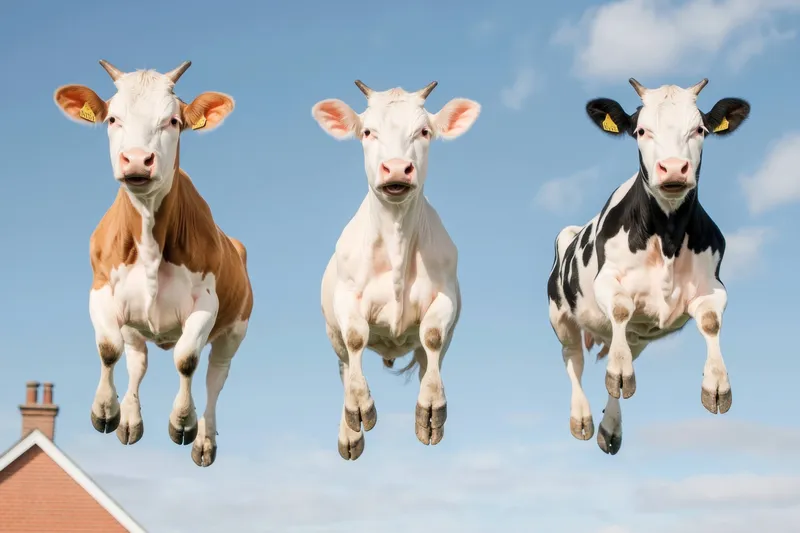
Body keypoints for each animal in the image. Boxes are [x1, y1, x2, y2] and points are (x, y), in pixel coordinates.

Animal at [53, 60, 253, 467]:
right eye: (112, 119)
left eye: (172, 121)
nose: (136, 160)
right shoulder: (100, 290)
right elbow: (108, 348)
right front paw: (105, 410)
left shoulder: (207, 304)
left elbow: (187, 359)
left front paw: (183, 422)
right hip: (134, 321)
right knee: (136, 359)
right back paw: (129, 419)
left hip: (233, 332)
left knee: (214, 378)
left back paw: (204, 438)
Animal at [311, 80, 480, 460]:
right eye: (367, 132)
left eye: (424, 131)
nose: (398, 169)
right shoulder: (347, 300)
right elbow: (356, 338)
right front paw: (360, 409)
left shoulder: (445, 296)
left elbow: (431, 337)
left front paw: (431, 409)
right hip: (332, 336)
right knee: (347, 366)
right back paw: (350, 431)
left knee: (428, 357)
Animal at [547, 78, 750, 456]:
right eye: (641, 131)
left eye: (699, 129)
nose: (672, 168)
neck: (667, 235)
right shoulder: (607, 280)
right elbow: (621, 306)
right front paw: (618, 375)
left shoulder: (713, 286)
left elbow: (710, 322)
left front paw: (717, 385)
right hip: (561, 317)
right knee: (574, 361)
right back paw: (582, 418)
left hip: (638, 337)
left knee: (618, 354)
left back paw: (610, 427)